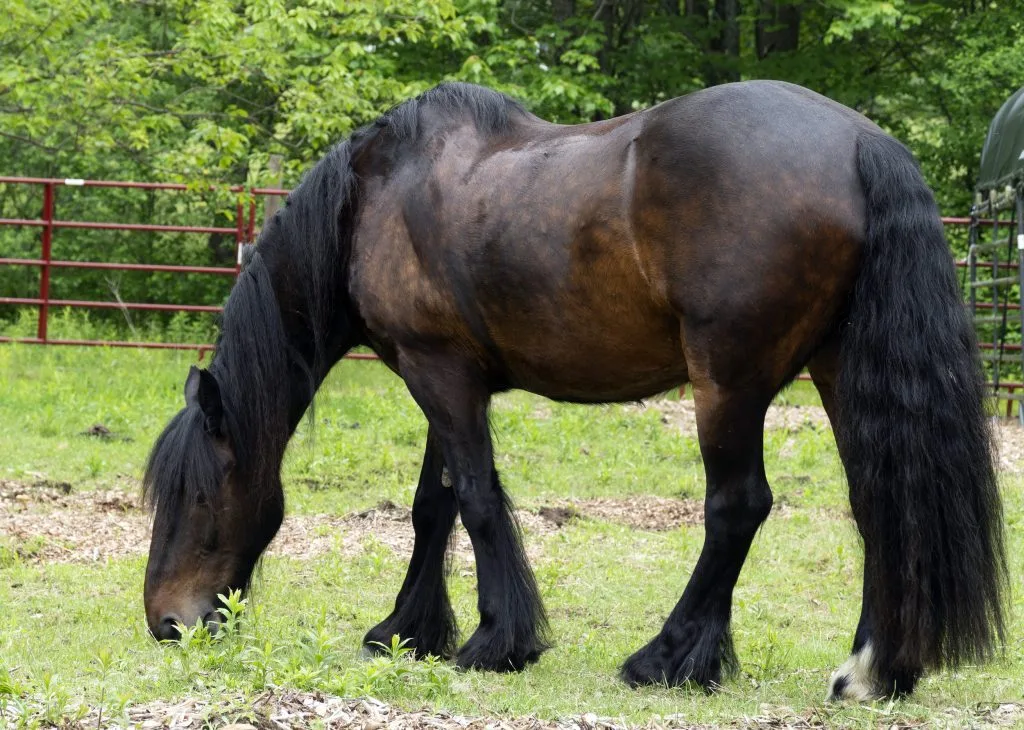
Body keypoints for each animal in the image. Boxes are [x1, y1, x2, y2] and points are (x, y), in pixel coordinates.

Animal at [142, 80, 1006, 701]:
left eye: (199, 496)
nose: (167, 623)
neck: (374, 197)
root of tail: (862, 142)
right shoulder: (444, 376)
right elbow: (434, 504)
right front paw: (406, 631)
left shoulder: (438, 371)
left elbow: (476, 499)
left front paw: (497, 641)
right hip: (835, 368)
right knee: (879, 503)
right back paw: (873, 671)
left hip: (727, 382)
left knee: (738, 508)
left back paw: (667, 658)